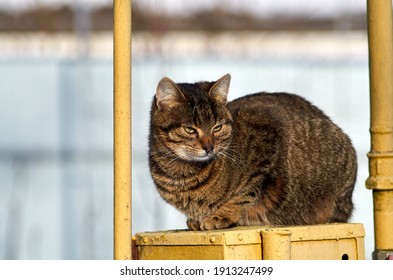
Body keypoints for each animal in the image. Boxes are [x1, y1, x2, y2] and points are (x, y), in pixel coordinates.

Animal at [147, 73, 356, 231]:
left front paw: (221, 215)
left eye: (217, 128)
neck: (181, 174)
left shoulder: (267, 131)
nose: (209, 147)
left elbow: (245, 191)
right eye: (190, 129)